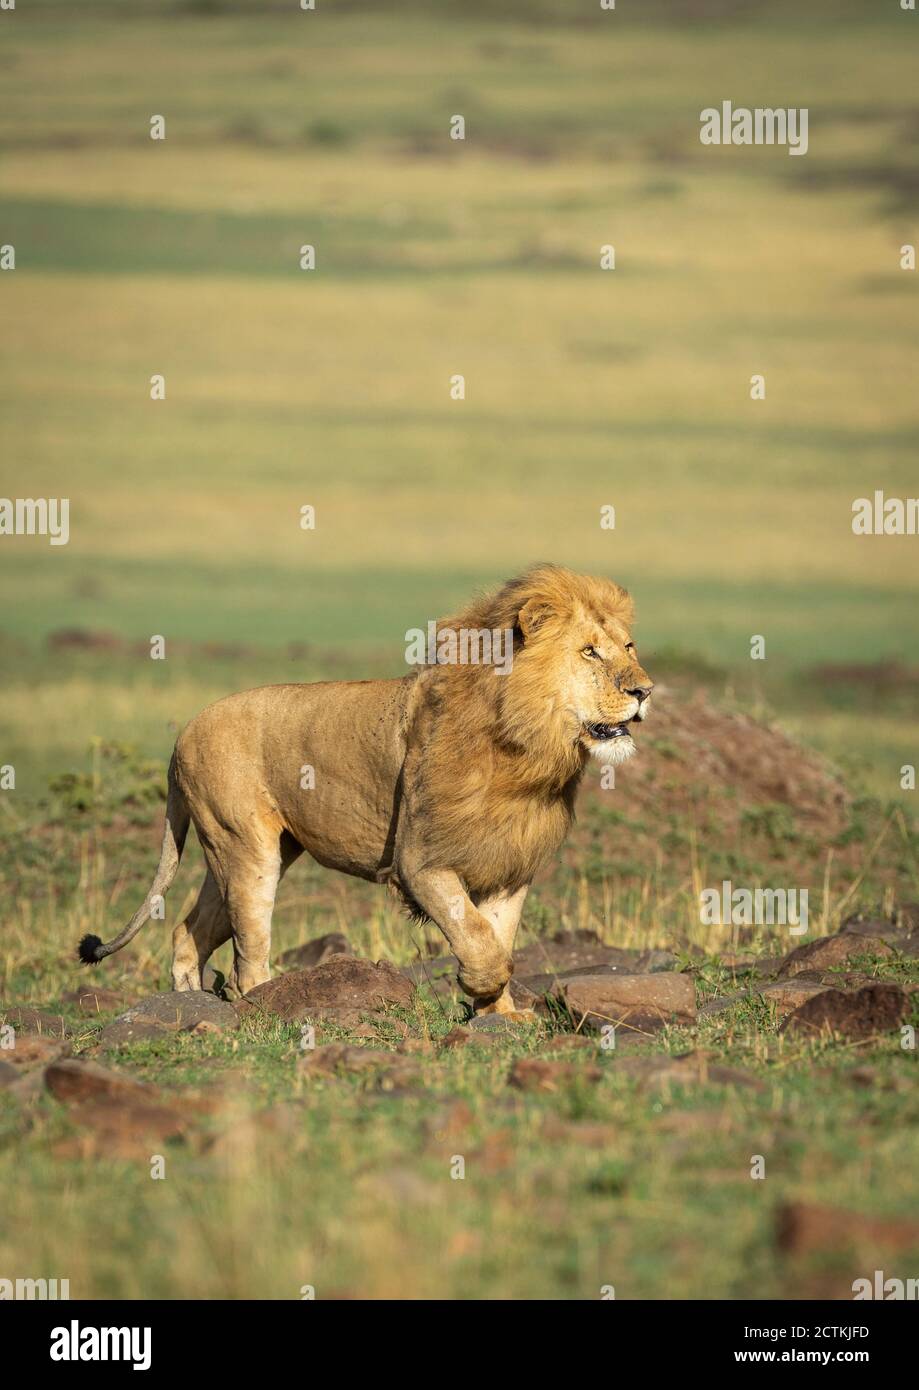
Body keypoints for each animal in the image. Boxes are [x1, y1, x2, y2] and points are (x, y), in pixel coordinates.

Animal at [78, 565, 653, 1015]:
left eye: (628, 647)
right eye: (589, 653)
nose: (645, 690)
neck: (526, 749)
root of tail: (183, 735)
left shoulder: (509, 863)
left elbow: (498, 936)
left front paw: (500, 1014)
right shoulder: (420, 860)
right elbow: (477, 938)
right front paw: (476, 985)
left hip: (240, 853)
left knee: (188, 929)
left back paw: (187, 1002)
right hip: (244, 848)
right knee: (249, 953)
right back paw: (261, 1006)